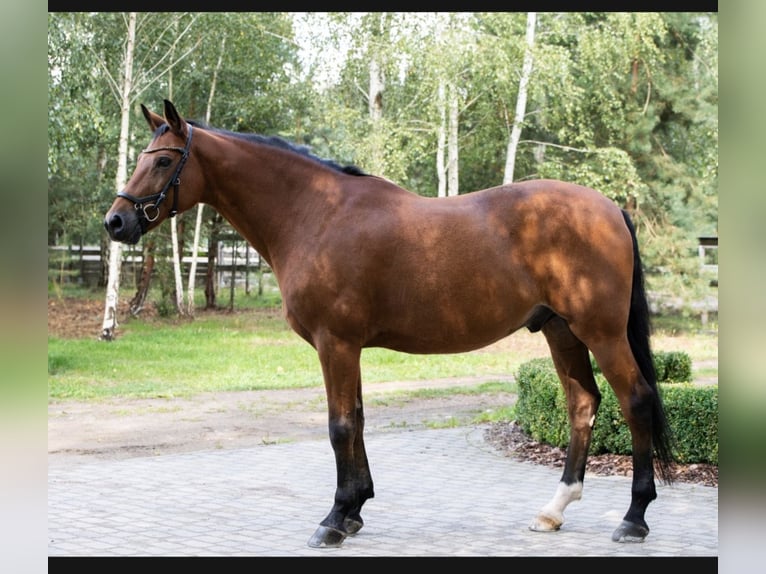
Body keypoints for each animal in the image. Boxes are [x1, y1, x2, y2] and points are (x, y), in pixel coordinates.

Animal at [104, 99, 675, 549]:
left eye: (162, 160)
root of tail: (611, 209)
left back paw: (634, 519)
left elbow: (339, 426)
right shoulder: (346, 347)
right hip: (560, 330)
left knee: (636, 400)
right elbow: (356, 420)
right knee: (583, 403)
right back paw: (554, 510)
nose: (116, 221)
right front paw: (355, 510)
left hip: (600, 332)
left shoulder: (335, 343)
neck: (315, 214)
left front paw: (334, 520)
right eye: (140, 158)